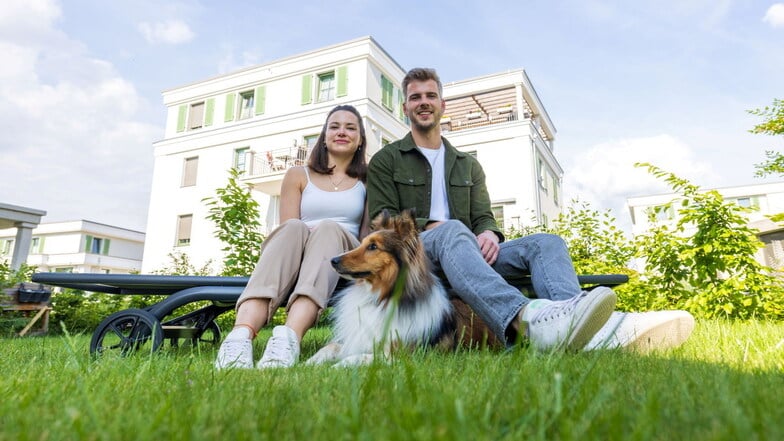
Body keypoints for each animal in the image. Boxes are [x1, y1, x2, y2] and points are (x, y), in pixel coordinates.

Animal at [304, 208, 500, 366]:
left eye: (373, 246)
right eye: (363, 243)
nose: (333, 260)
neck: (381, 298)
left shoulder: (401, 354)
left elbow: (360, 356)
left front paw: (338, 366)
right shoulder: (358, 339)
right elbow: (331, 347)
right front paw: (308, 363)